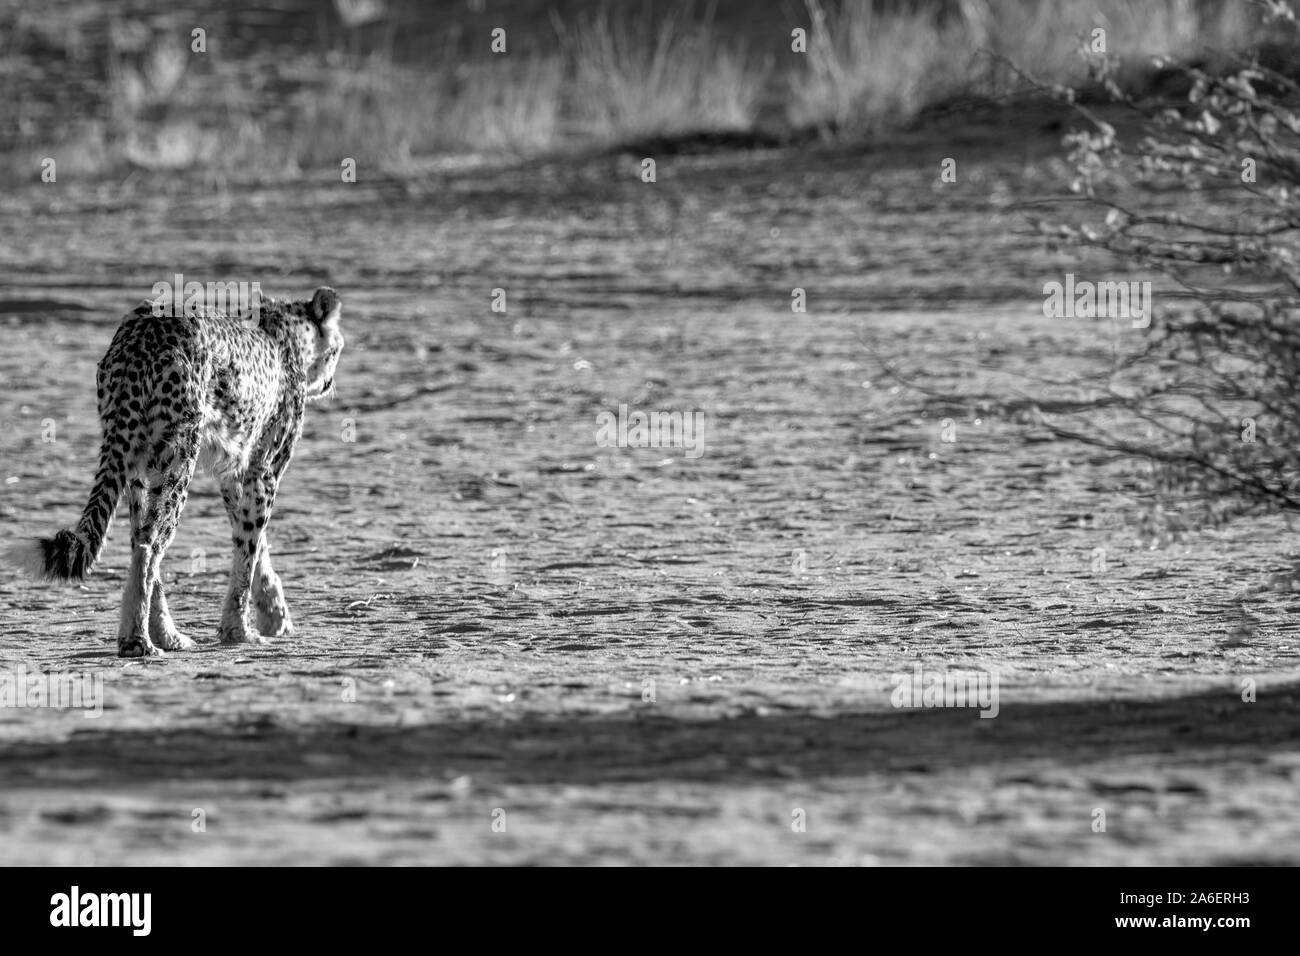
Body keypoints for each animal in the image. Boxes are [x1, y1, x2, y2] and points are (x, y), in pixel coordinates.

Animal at [2, 286, 345, 658]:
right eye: (337, 348)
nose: (329, 383)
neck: (287, 330)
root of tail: (143, 331)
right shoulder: (264, 470)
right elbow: (248, 551)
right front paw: (240, 630)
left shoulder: (235, 475)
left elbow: (255, 543)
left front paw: (272, 613)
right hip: (179, 458)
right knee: (149, 544)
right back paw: (138, 640)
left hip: (138, 465)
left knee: (139, 537)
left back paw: (165, 634)